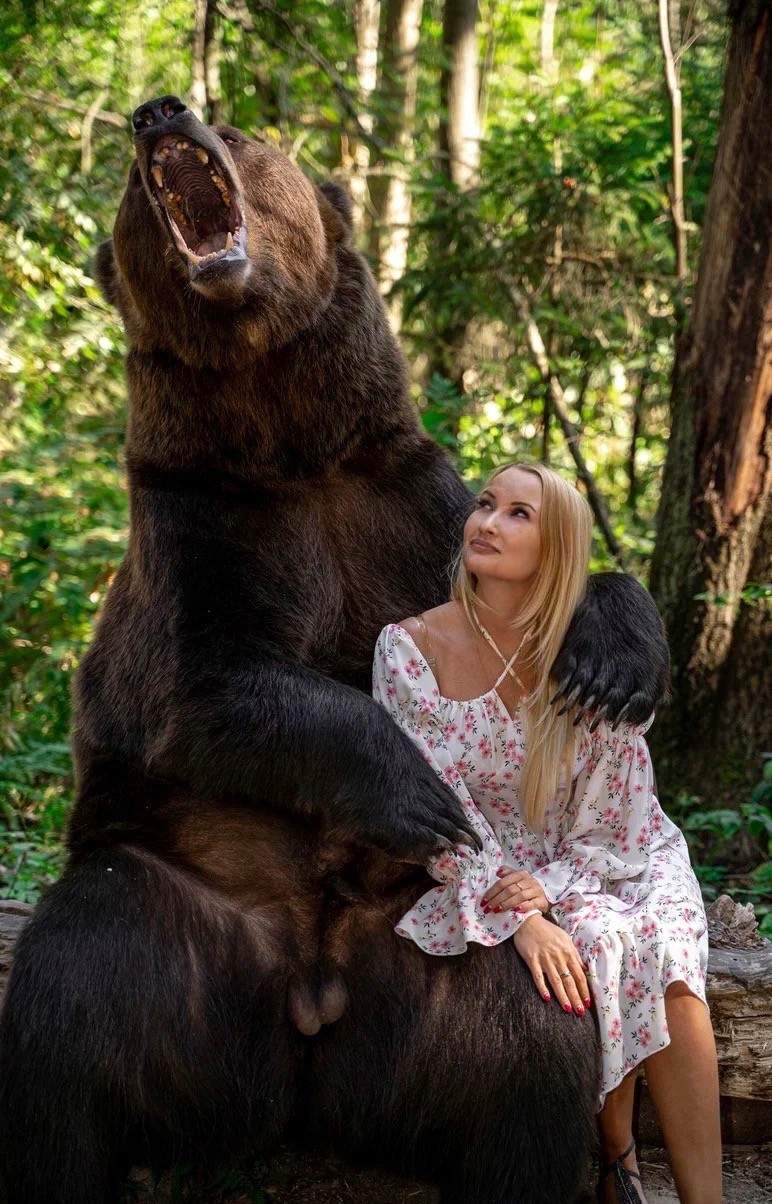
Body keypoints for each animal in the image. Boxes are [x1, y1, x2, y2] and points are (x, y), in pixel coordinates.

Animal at [0, 95, 669, 1204]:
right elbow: (206, 685)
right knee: (62, 1025)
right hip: (162, 914)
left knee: (527, 1057)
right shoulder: (205, 528)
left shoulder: (398, 502)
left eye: (234, 129)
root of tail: (311, 995)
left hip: (428, 972)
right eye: (133, 190)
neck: (286, 437)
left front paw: (611, 660)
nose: (158, 112)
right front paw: (417, 790)